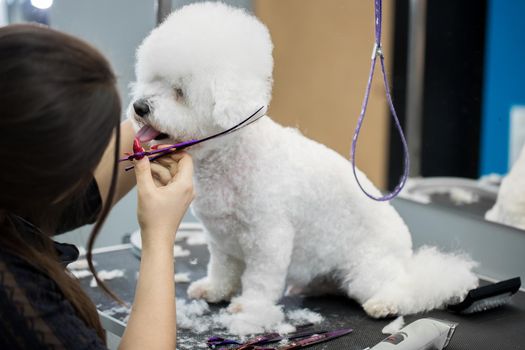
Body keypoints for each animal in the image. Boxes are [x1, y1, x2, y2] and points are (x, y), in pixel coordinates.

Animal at [129, 1, 476, 334]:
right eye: (153, 80)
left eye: (180, 92)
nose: (139, 106)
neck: (228, 159)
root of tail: (406, 254)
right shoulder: (221, 238)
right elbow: (222, 268)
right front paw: (215, 289)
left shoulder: (269, 238)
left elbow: (260, 280)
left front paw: (250, 309)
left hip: (368, 269)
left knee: (406, 290)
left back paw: (386, 302)